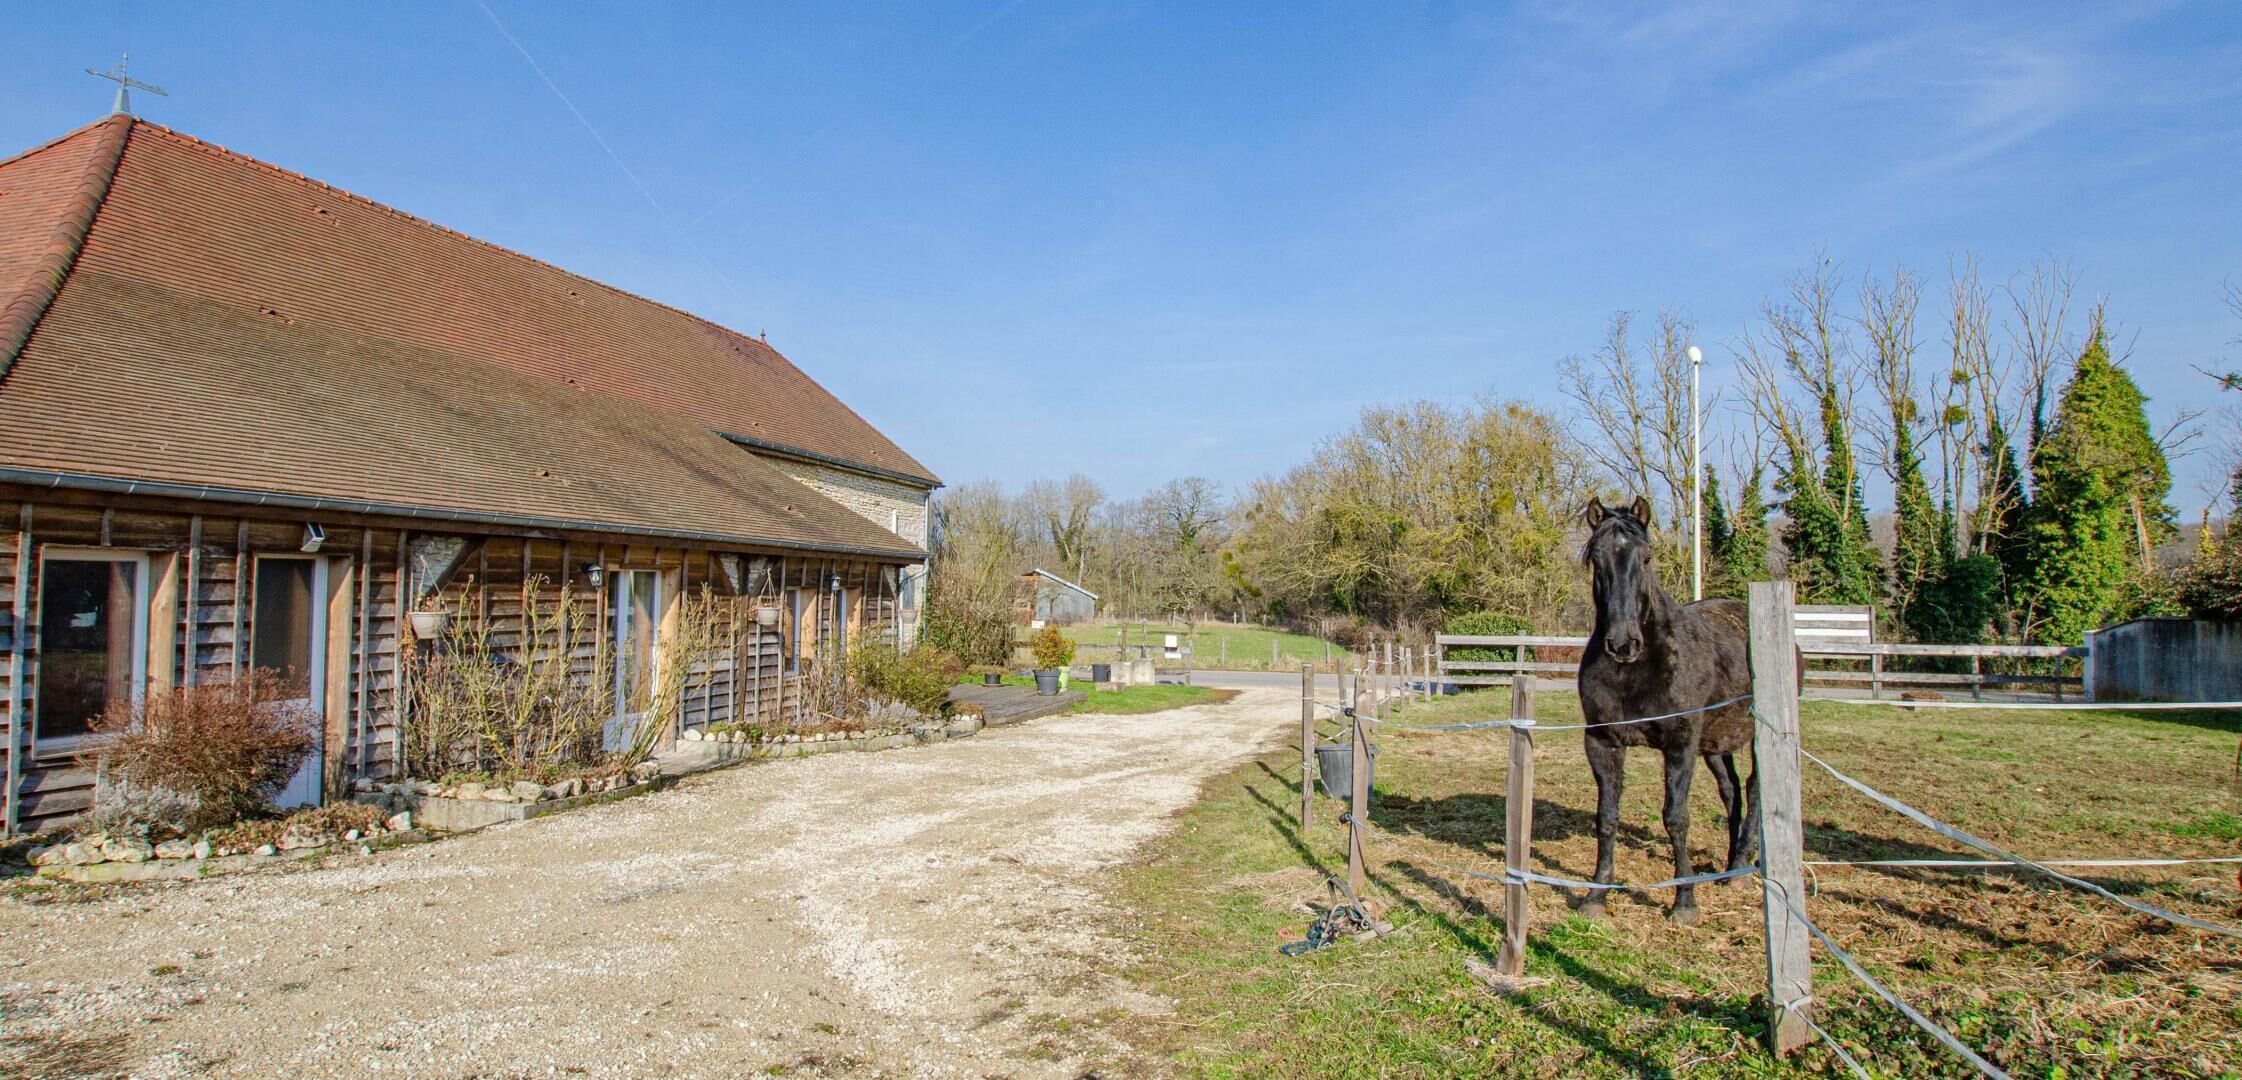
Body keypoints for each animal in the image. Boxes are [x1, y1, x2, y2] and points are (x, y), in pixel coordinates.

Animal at [1576, 496, 1758, 925]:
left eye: (1647, 557)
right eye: (1596, 558)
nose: (1622, 643)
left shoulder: (1679, 746)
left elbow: (1676, 818)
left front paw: (1685, 901)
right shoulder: (1603, 742)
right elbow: (1606, 818)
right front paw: (1596, 895)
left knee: (1757, 789)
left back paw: (1743, 868)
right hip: (1715, 744)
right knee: (1731, 792)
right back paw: (1729, 866)